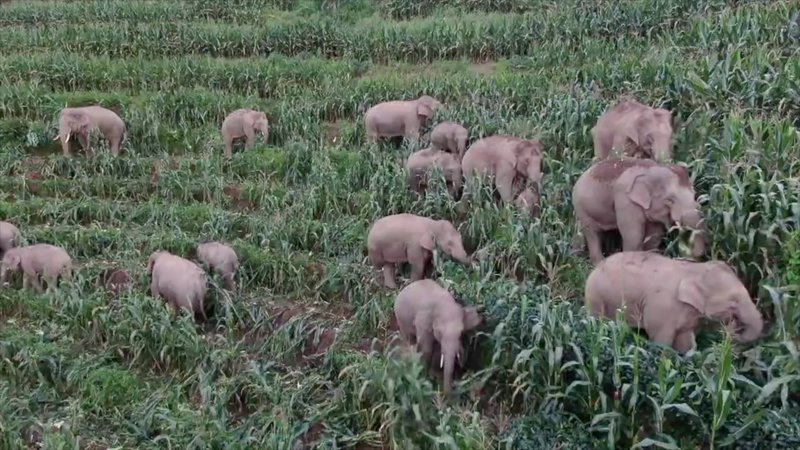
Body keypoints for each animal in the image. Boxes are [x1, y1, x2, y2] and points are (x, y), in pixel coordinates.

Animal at [572, 157, 706, 265]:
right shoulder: (624, 198)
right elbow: (634, 237)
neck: (650, 170)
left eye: (694, 194)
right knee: (592, 234)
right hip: (581, 207)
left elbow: (654, 236)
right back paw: (598, 263)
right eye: (670, 200)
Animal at [585, 251, 764, 353]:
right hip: (595, 297)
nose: (731, 328)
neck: (694, 270)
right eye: (734, 300)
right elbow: (661, 341)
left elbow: (685, 340)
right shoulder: (661, 309)